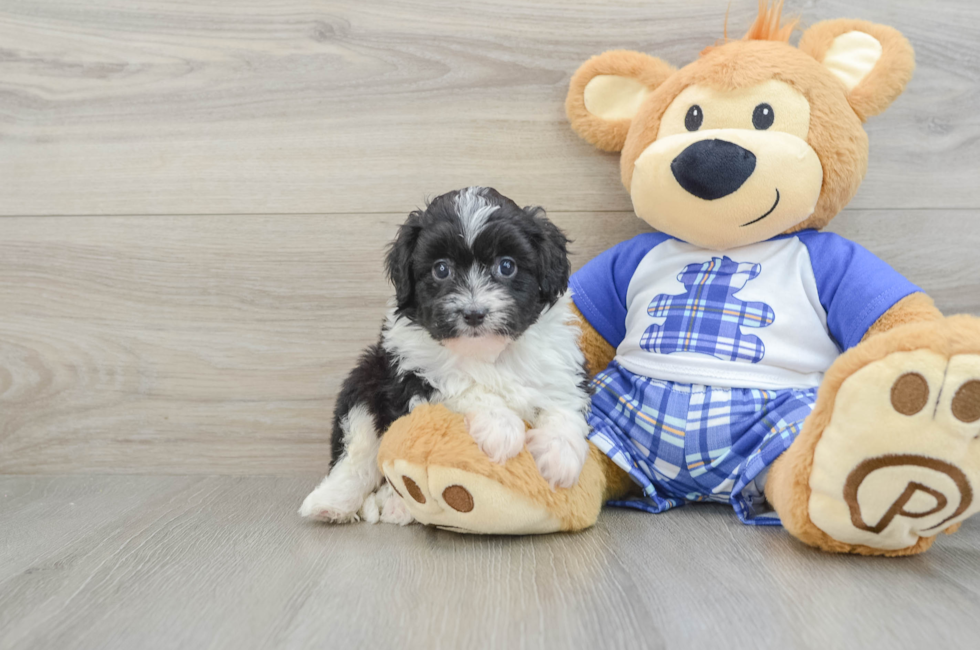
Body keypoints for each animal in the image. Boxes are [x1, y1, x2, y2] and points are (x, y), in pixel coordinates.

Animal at [298, 185, 588, 524]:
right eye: (441, 269)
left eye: (507, 266)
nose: (473, 313)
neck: (488, 354)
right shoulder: (413, 371)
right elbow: (463, 384)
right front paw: (501, 427)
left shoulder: (558, 363)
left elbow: (562, 403)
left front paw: (560, 456)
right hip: (365, 380)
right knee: (358, 456)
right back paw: (336, 503)